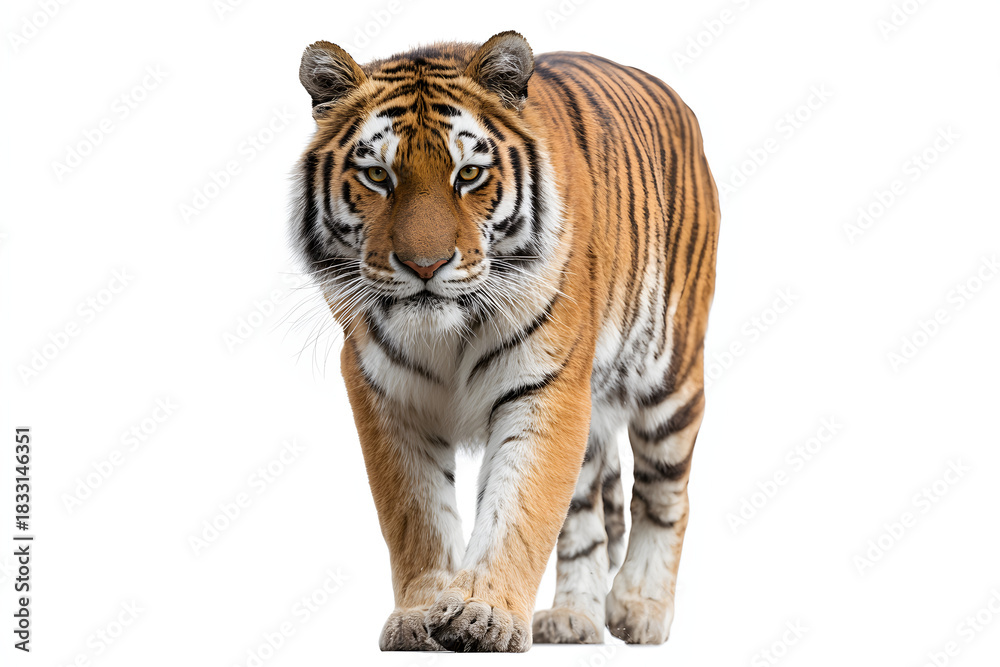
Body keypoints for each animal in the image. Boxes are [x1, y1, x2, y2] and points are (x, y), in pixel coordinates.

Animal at [289, 30, 719, 652]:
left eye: (468, 175)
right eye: (378, 176)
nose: (425, 266)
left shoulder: (545, 388)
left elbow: (517, 508)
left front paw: (483, 613)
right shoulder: (385, 394)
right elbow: (416, 515)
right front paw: (421, 615)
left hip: (672, 375)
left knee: (666, 495)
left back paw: (640, 607)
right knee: (586, 516)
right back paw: (573, 617)